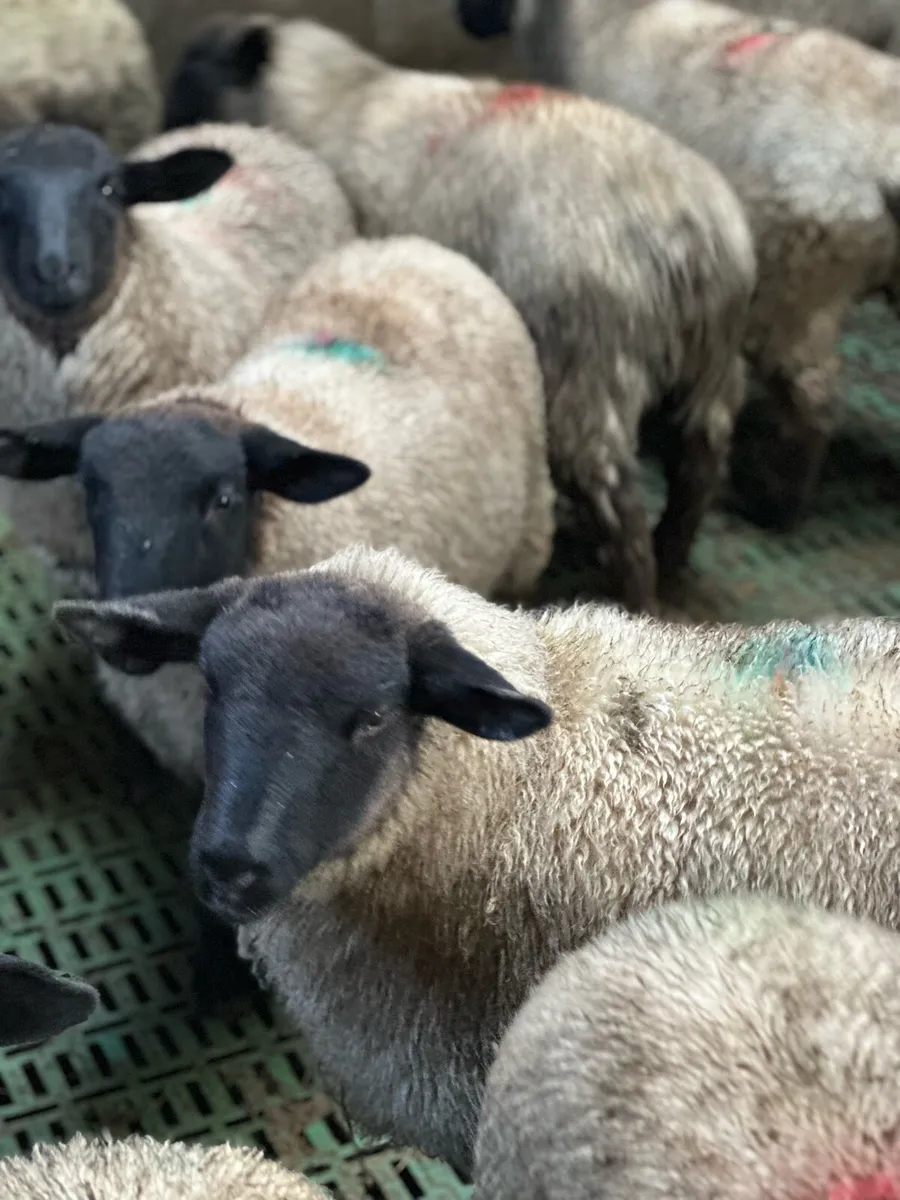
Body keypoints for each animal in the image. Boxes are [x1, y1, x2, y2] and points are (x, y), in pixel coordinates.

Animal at [161, 17, 756, 612]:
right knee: (700, 463)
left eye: (196, 69)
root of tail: (692, 235)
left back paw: (634, 597)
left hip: (590, 365)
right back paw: (673, 561)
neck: (343, 95)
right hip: (712, 362)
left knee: (618, 502)